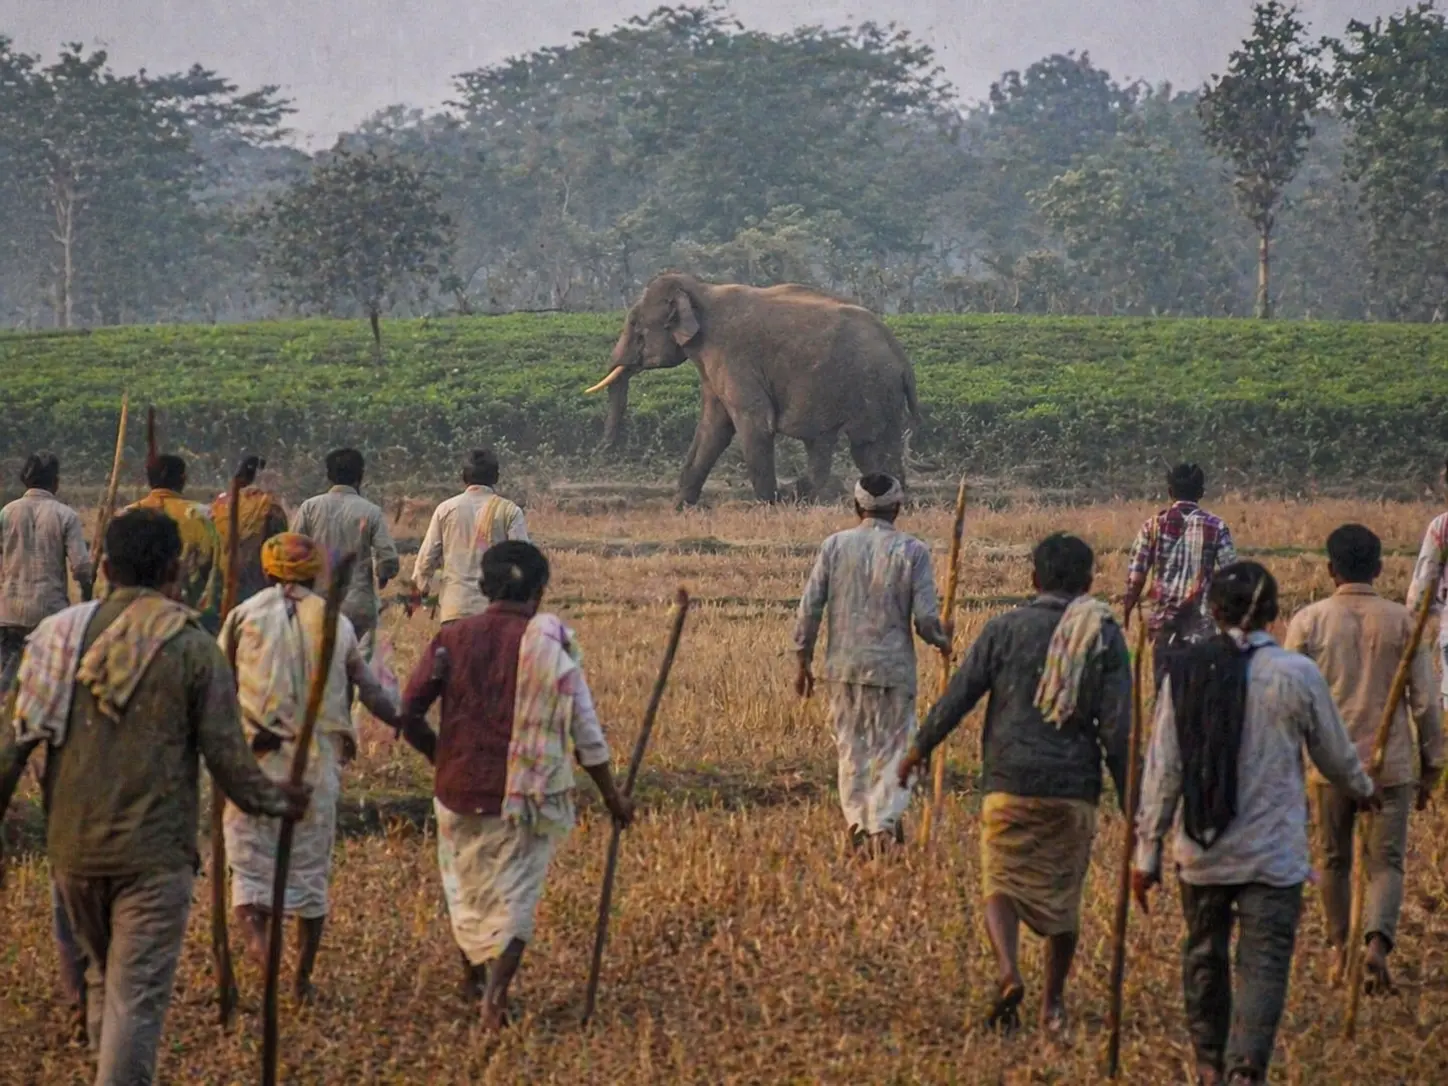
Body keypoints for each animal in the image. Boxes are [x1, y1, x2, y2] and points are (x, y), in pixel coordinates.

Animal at [587, 273, 921, 506]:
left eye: (635, 325)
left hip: (871, 386)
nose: (601, 450)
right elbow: (712, 428)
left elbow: (754, 424)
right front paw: (679, 507)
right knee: (872, 446)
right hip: (879, 392)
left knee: (865, 445)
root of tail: (902, 356)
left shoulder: (734, 356)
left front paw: (768, 505)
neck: (702, 289)